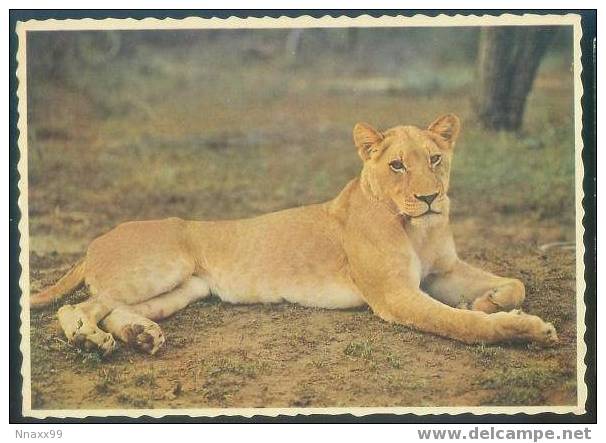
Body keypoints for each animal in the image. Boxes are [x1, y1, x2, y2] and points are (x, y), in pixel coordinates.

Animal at [30, 115, 560, 358]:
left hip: (186, 288)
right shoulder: (395, 295)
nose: (431, 198)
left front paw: (488, 301)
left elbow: (515, 284)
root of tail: (96, 240)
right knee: (79, 307)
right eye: (396, 166)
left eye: (435, 159)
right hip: (165, 266)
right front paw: (523, 329)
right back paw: (89, 340)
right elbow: (461, 324)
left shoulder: (443, 271)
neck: (417, 229)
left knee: (115, 308)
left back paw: (140, 336)